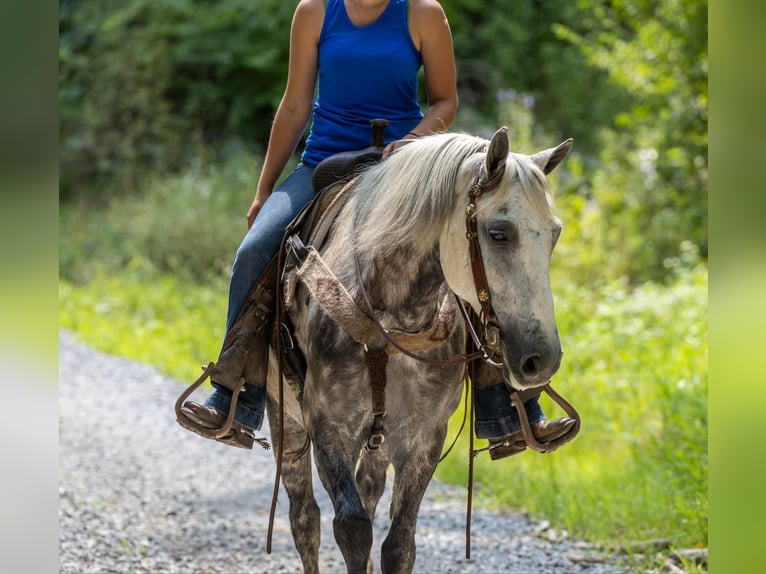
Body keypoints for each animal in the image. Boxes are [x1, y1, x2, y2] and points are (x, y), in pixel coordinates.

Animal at [265, 127, 573, 574]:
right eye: (498, 233)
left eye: (555, 234)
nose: (542, 359)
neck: (389, 319)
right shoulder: (328, 429)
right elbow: (352, 529)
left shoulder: (424, 438)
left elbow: (399, 543)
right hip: (285, 422)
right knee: (305, 518)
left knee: (369, 490)